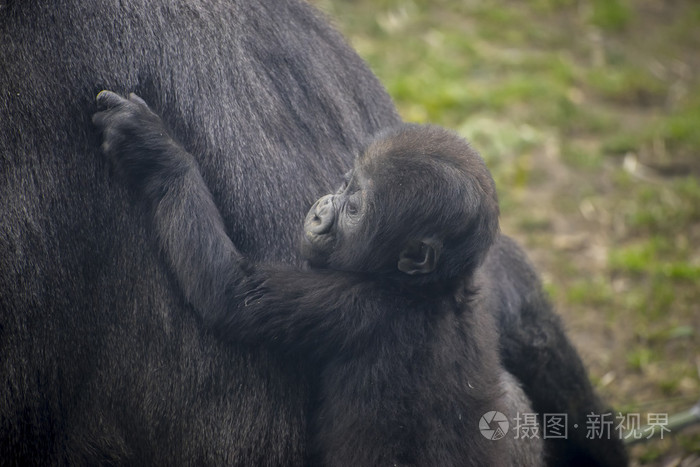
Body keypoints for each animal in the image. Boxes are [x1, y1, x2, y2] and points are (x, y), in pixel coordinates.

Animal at [93, 91, 540, 467]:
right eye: (343, 183)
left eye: (354, 207)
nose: (322, 209)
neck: (431, 289)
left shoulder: (357, 303)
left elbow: (232, 294)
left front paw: (158, 156)